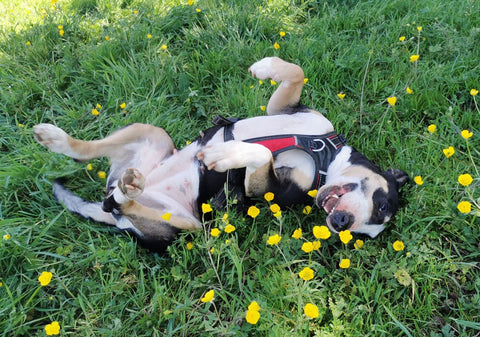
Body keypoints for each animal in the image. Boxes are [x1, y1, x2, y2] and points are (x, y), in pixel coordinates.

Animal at [33, 56, 408, 252]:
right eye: (383, 204)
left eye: (362, 233)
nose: (341, 223)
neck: (324, 157)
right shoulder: (287, 110)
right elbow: (295, 73)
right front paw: (266, 67)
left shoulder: (268, 189)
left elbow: (260, 152)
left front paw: (227, 154)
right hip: (153, 135)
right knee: (87, 154)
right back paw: (57, 140)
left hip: (185, 225)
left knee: (122, 203)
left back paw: (128, 191)